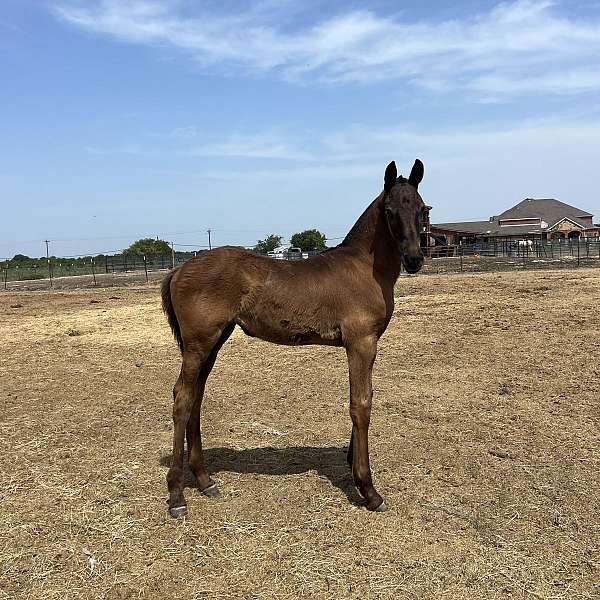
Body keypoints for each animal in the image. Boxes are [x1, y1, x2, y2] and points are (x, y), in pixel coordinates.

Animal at [163, 158, 426, 516]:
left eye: (421, 208)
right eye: (389, 211)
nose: (414, 259)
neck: (363, 267)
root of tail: (179, 269)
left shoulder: (362, 345)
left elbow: (362, 398)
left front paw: (351, 464)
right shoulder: (361, 343)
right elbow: (361, 404)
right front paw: (368, 489)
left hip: (214, 341)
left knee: (196, 396)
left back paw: (205, 481)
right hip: (198, 343)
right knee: (182, 398)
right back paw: (177, 496)